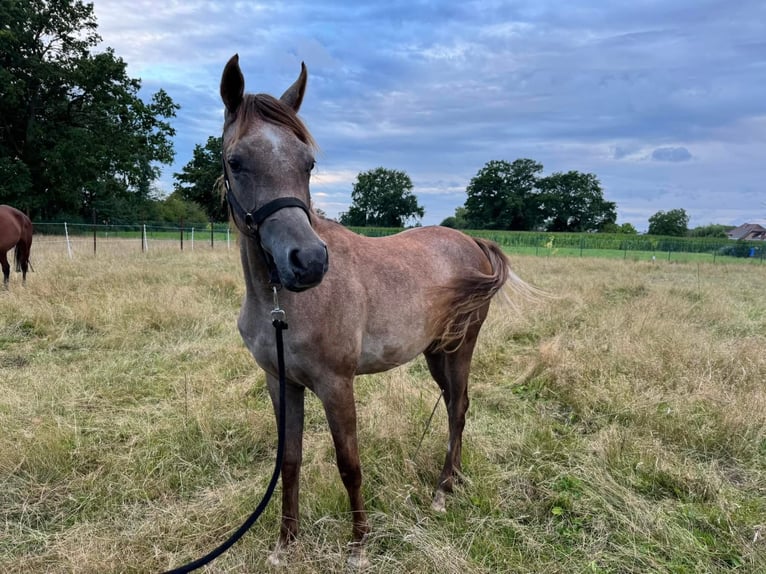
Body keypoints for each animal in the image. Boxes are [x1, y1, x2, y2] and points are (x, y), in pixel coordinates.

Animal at [220, 54, 533, 569]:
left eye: (308, 163)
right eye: (235, 161)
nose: (308, 261)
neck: (282, 306)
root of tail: (471, 242)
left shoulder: (336, 384)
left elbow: (349, 464)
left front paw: (359, 548)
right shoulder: (280, 382)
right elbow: (290, 461)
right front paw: (285, 545)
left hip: (460, 347)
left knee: (458, 408)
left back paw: (442, 492)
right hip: (435, 352)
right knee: (457, 405)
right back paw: (454, 481)